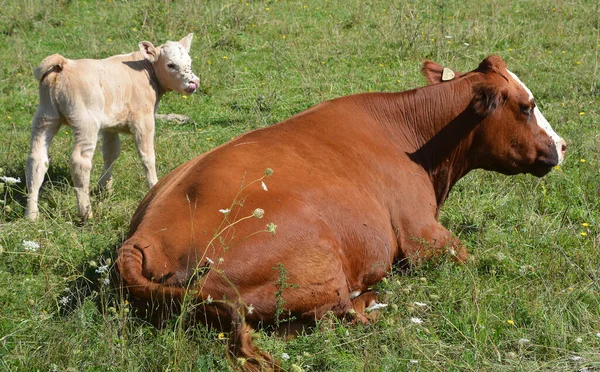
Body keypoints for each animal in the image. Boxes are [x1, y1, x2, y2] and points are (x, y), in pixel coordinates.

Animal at [25, 34, 199, 221]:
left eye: (189, 61)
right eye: (171, 65)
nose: (194, 82)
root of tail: (64, 64)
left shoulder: (110, 126)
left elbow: (111, 152)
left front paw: (104, 189)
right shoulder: (144, 120)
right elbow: (147, 156)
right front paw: (154, 187)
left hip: (45, 117)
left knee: (36, 159)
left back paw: (31, 214)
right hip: (86, 122)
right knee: (80, 161)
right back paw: (86, 213)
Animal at [117, 55, 568, 370]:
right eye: (527, 107)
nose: (562, 145)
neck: (416, 139)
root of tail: (143, 238)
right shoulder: (423, 234)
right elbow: (478, 259)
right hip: (318, 266)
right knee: (335, 316)